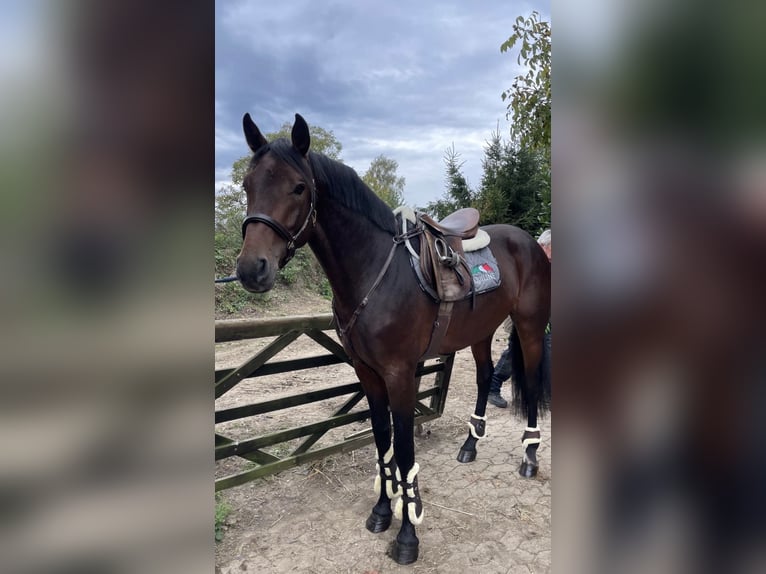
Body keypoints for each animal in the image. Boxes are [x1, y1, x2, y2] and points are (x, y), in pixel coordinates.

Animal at [234, 113, 551, 565]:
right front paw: (382, 512)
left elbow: (403, 450)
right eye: (247, 185)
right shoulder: (368, 374)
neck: (374, 273)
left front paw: (407, 535)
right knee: (484, 376)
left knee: (532, 377)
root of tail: (529, 242)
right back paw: (470, 445)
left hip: (529, 326)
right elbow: (382, 441)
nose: (251, 269)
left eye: (298, 187)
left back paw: (529, 455)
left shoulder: (400, 375)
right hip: (481, 332)